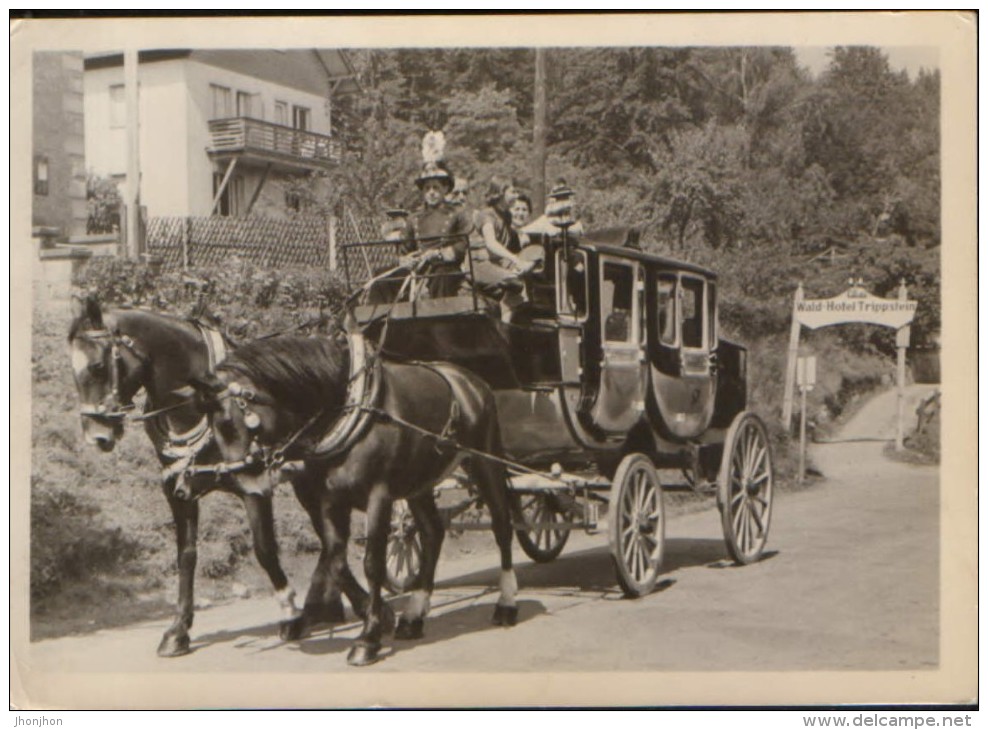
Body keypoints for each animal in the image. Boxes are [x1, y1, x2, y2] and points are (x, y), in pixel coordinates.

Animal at [65, 292, 344, 656]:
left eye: (98, 366)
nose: (96, 437)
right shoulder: (177, 490)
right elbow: (186, 556)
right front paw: (178, 630)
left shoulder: (254, 486)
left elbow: (265, 550)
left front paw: (289, 611)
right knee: (329, 536)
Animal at [188, 332, 520, 664]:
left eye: (227, 424)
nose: (245, 483)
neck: (347, 409)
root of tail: (472, 381)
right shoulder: (330, 500)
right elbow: (335, 558)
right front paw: (370, 618)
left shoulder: (379, 496)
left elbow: (372, 563)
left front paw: (368, 638)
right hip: (419, 484)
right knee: (433, 532)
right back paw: (414, 615)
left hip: (485, 461)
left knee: (502, 526)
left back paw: (506, 604)